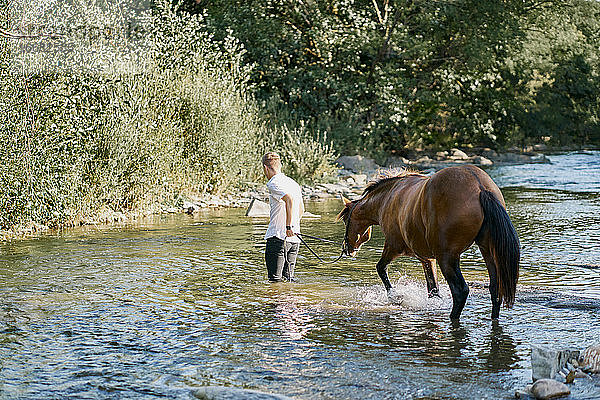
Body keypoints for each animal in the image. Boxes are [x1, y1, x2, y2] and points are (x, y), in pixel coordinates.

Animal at [338, 164, 520, 320]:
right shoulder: (427, 258)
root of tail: (480, 187)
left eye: (346, 220)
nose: (348, 249)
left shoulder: (393, 247)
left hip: (447, 258)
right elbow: (433, 290)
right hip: (487, 252)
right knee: (495, 289)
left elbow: (381, 268)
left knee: (460, 291)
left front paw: (394, 297)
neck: (388, 198)